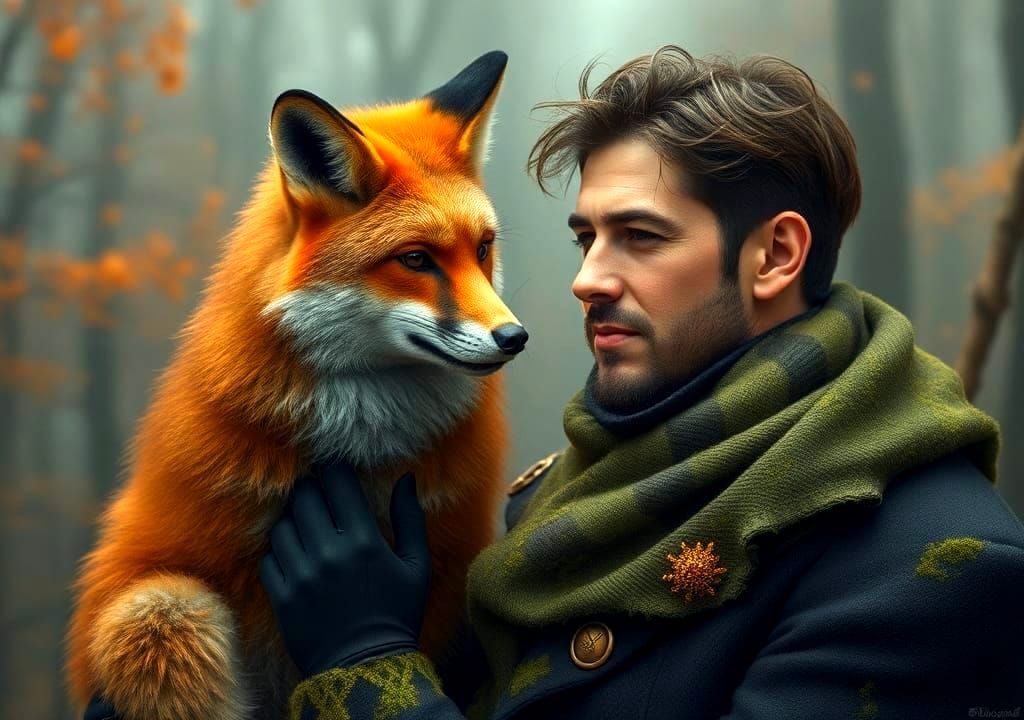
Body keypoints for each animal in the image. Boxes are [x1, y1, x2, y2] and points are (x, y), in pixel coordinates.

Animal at [64, 50, 525, 720]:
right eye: (416, 259)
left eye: (483, 249)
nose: (514, 337)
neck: (360, 455)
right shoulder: (153, 575)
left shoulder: (450, 580)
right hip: (167, 613)